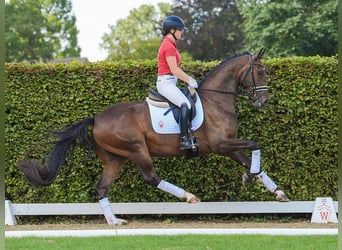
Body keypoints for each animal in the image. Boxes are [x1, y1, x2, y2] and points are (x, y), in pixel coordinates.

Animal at [19, 47, 288, 226]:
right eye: (261, 72)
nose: (263, 102)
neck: (216, 100)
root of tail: (96, 118)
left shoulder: (229, 147)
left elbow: (254, 161)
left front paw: (277, 192)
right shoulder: (221, 144)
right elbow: (255, 145)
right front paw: (248, 178)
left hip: (115, 158)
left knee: (102, 187)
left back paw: (114, 221)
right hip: (137, 148)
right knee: (150, 177)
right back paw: (189, 197)